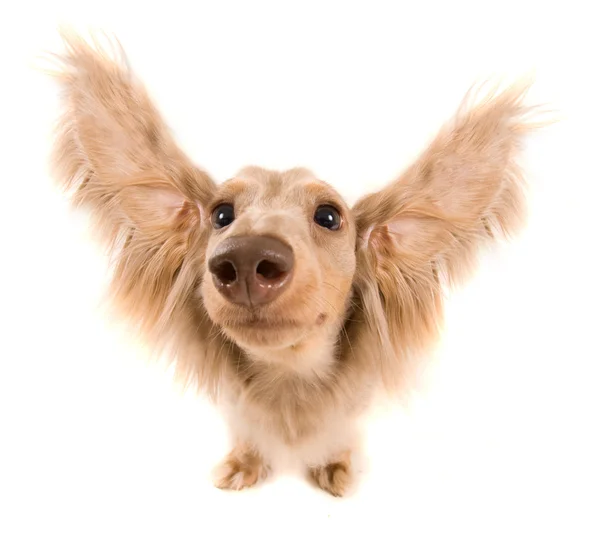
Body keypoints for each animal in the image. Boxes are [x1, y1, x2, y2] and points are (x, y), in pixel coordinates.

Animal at [45, 32, 544, 494]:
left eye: (329, 216)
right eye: (221, 214)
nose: (245, 258)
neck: (287, 377)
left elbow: (339, 436)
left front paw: (336, 466)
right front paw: (244, 464)